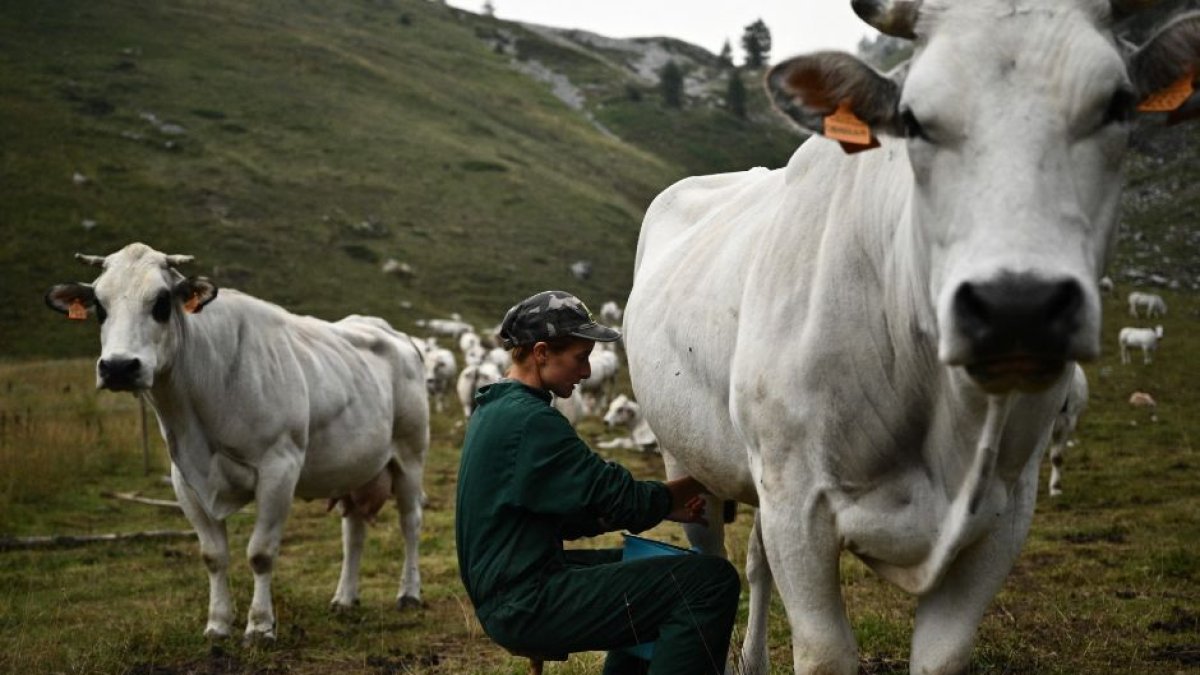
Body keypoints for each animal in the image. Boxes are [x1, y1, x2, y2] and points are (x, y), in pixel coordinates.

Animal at [45, 243, 429, 640]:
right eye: (99, 306)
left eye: (162, 302)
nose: (119, 367)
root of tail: (388, 331)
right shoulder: (185, 479)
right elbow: (213, 555)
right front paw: (217, 624)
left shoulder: (280, 468)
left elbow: (260, 552)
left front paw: (259, 625)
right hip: (355, 468)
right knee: (353, 529)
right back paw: (344, 598)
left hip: (410, 454)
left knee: (410, 521)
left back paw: (409, 593)